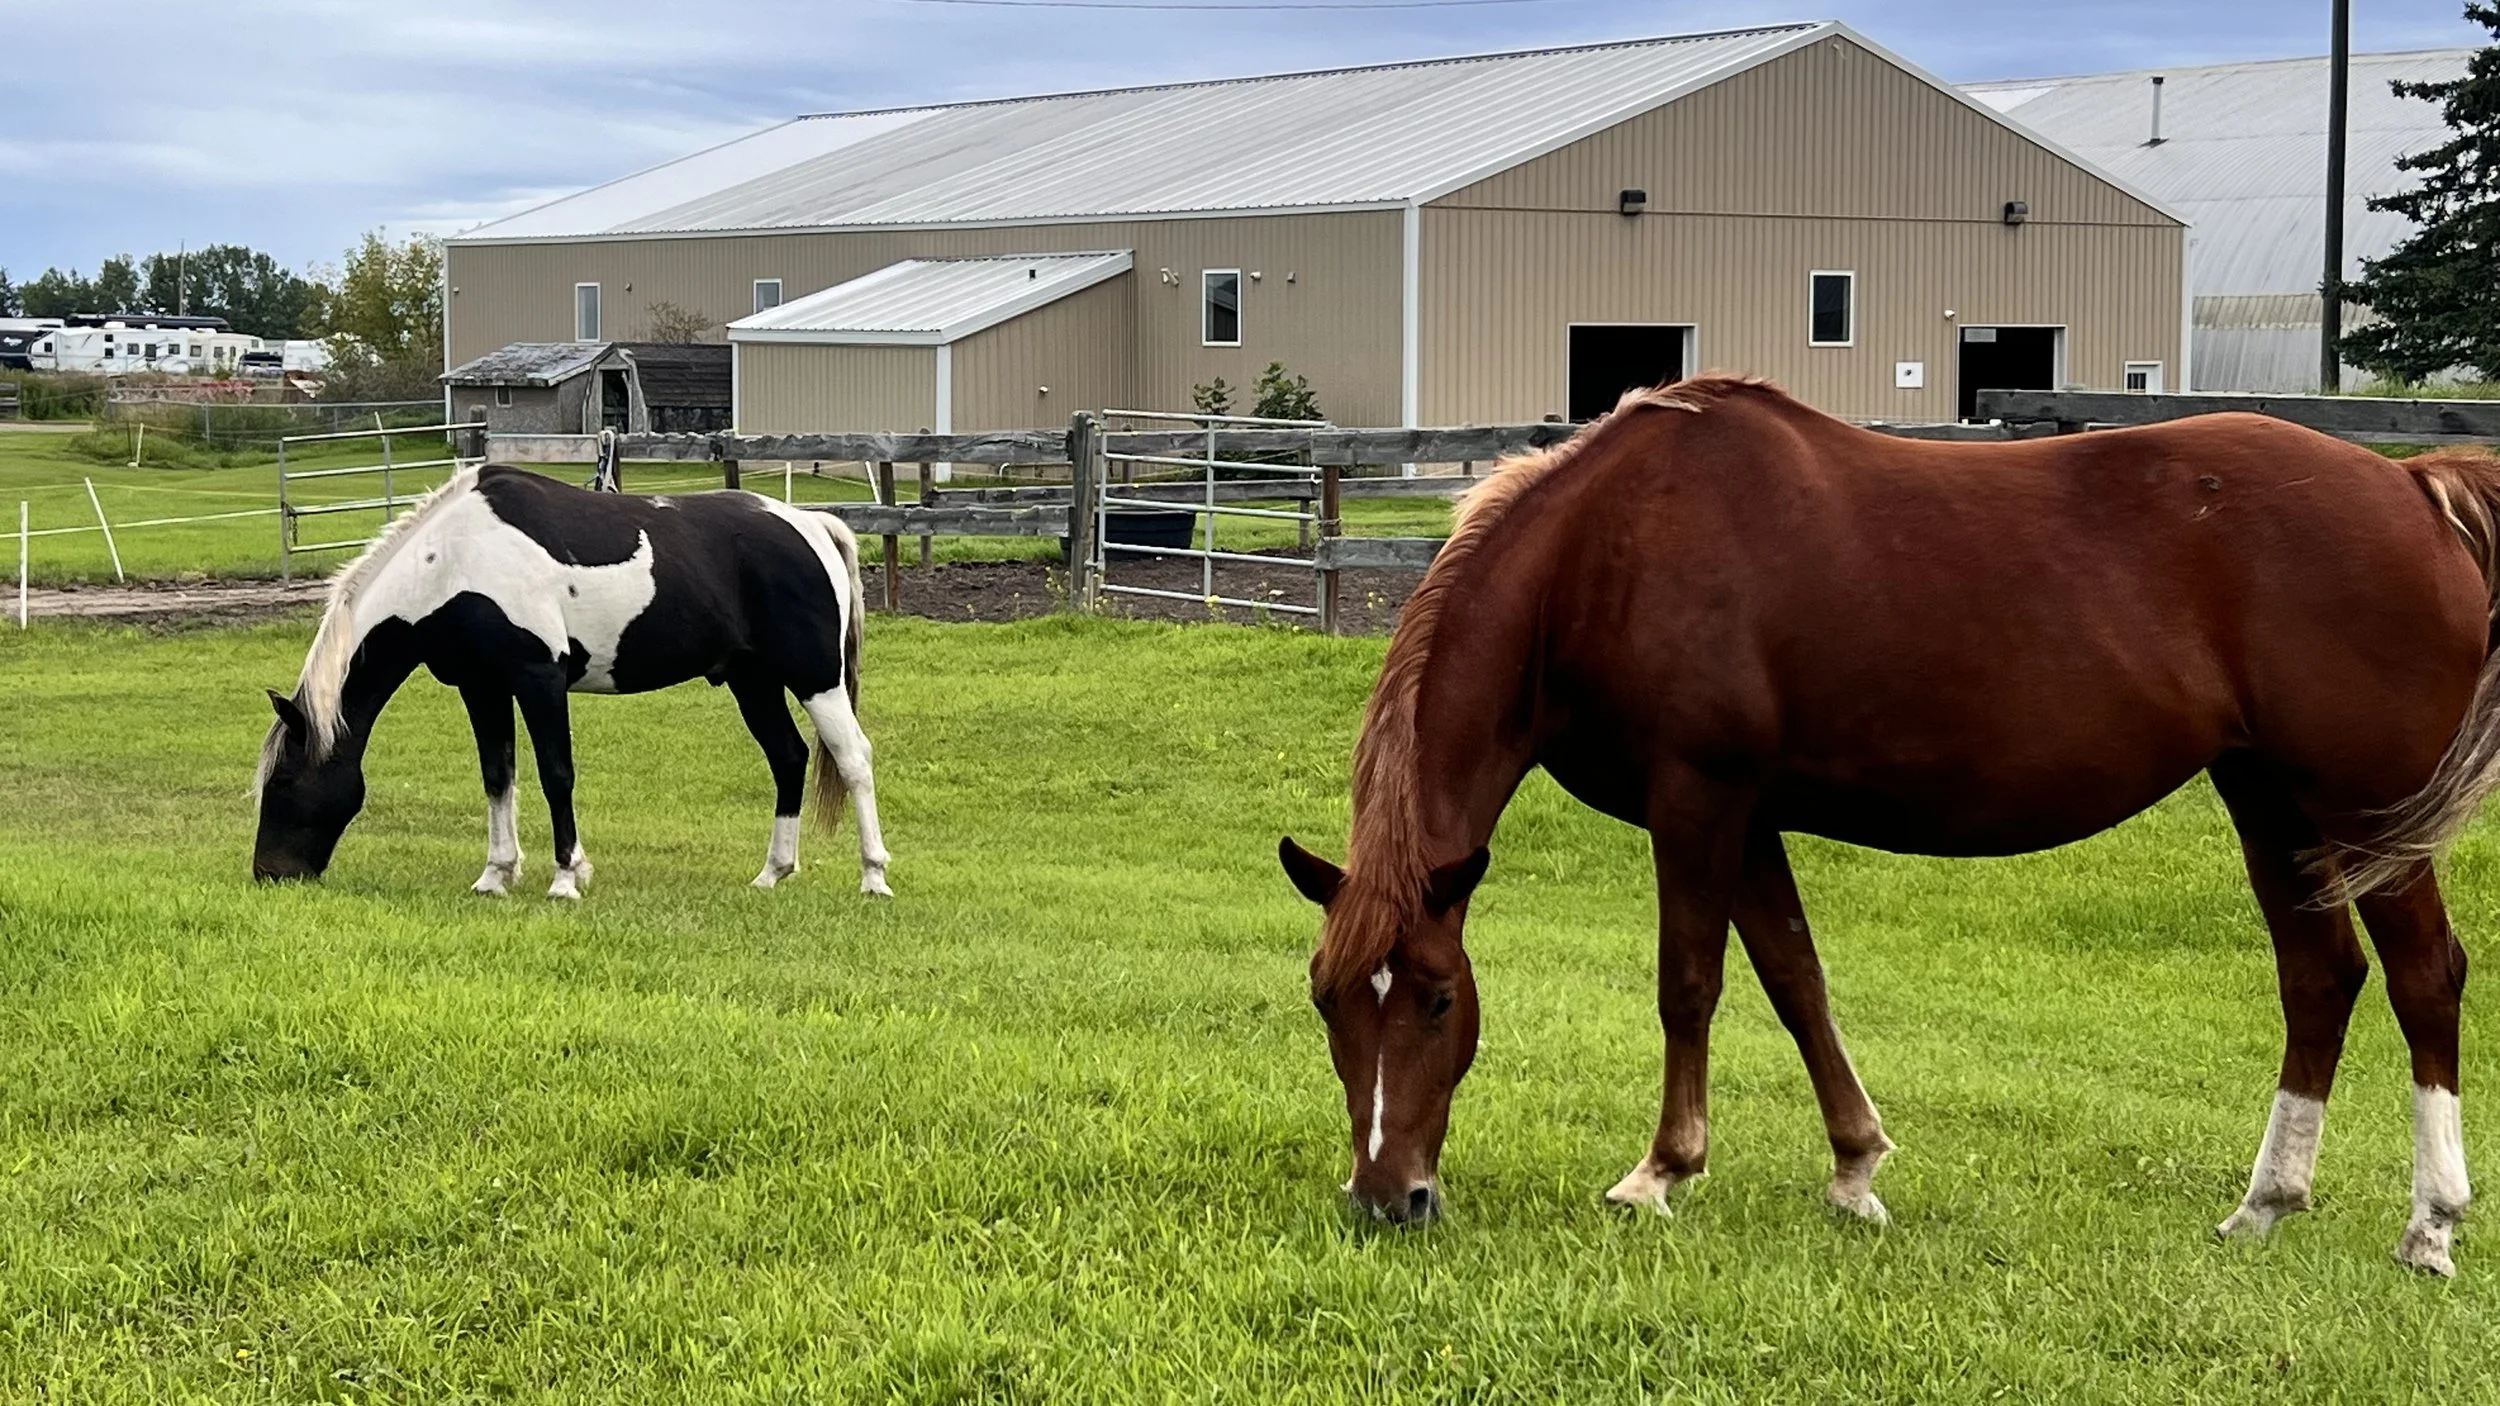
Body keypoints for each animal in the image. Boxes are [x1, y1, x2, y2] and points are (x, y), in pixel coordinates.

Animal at [253, 463, 891, 900]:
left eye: (283, 782)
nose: (269, 874)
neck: (455, 562)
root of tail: (812, 525)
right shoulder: (481, 685)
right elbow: (498, 776)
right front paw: (495, 875)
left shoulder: (539, 678)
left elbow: (556, 774)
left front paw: (566, 878)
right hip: (751, 681)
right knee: (788, 757)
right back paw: (771, 874)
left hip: (814, 679)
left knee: (853, 758)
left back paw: (874, 877)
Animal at [1280, 377, 2493, 1276]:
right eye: (1327, 1001)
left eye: (1438, 1000)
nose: (1388, 1195)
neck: (1601, 553)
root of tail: (2409, 487)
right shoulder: (1748, 814)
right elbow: (1795, 980)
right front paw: (1855, 1167)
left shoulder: (1698, 798)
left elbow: (1690, 984)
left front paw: (1661, 1172)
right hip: (2270, 800)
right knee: (2320, 977)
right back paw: (2265, 1203)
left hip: (2363, 808)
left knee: (2424, 975)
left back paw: (2429, 1225)